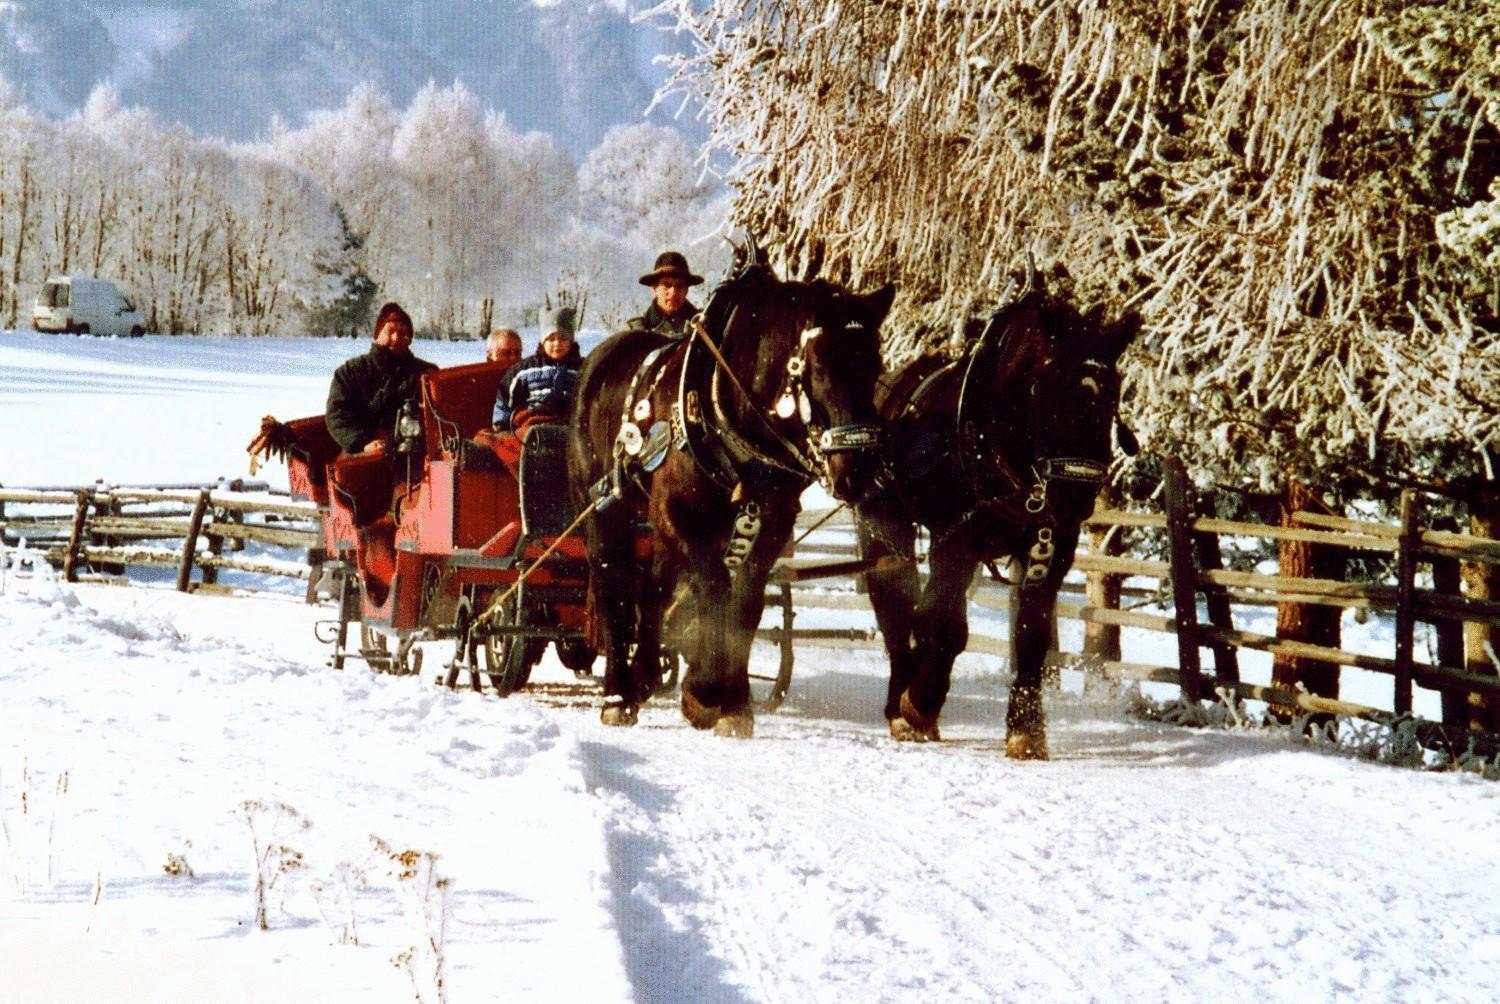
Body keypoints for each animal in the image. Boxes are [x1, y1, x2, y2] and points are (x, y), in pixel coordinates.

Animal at [570, 262, 888, 732]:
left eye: (875, 365)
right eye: (820, 367)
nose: (858, 469)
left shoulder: (772, 522)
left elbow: (746, 602)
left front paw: (734, 702)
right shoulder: (678, 514)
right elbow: (714, 586)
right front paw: (703, 691)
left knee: (653, 587)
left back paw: (645, 675)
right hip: (604, 509)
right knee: (615, 587)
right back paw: (617, 693)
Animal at [858, 270, 1134, 756]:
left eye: (1112, 392)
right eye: (1049, 386)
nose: (1075, 494)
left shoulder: (1051, 549)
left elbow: (1031, 636)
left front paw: (1026, 729)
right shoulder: (956, 539)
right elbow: (947, 627)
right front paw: (919, 703)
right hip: (886, 525)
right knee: (894, 605)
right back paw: (900, 700)